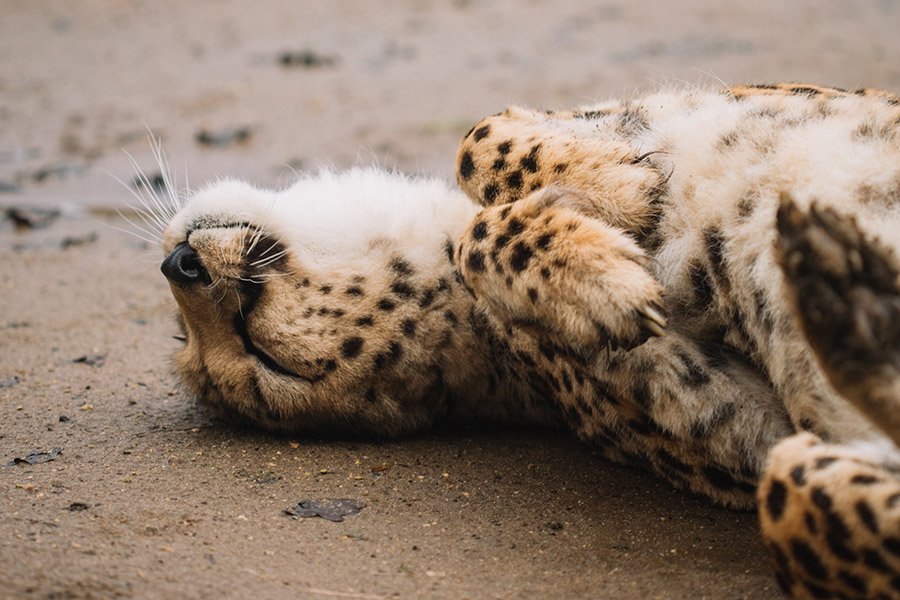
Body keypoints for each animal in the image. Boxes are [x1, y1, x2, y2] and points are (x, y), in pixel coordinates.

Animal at [153, 82, 900, 599]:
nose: (180, 264)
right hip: (799, 469)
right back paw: (849, 295)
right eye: (266, 360)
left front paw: (618, 187)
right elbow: (480, 242)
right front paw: (592, 273)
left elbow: (479, 135)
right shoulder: (747, 436)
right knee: (802, 495)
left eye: (253, 346)